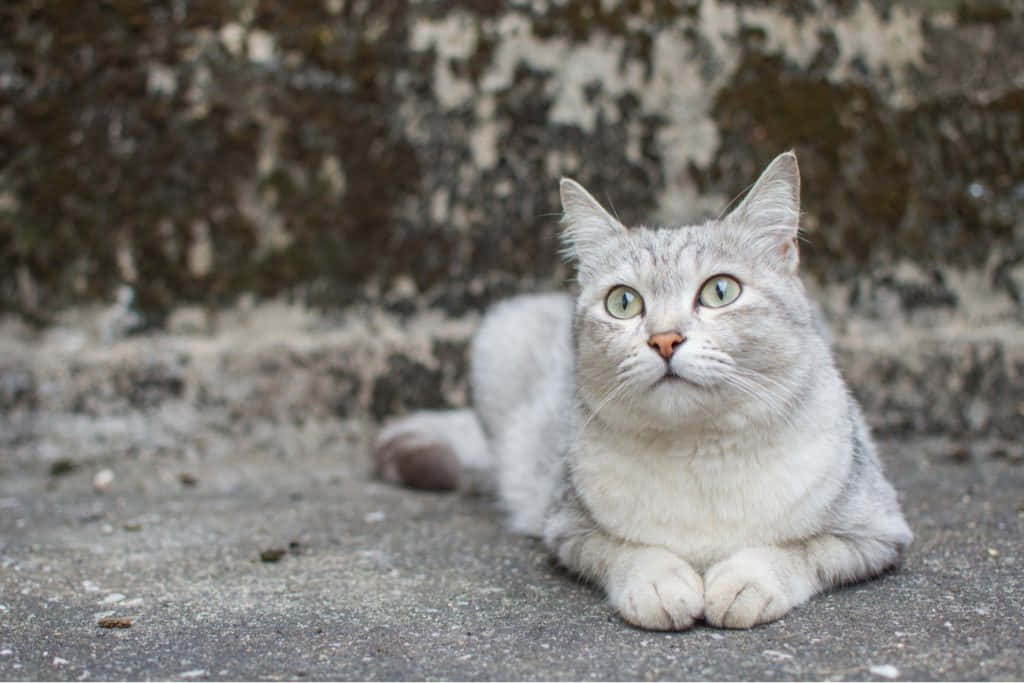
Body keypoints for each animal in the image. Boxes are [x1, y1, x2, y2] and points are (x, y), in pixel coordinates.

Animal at [374, 153, 913, 630]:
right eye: (623, 302)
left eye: (720, 291)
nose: (665, 339)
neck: (699, 453)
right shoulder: (567, 528)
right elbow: (627, 551)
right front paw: (661, 585)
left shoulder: (876, 532)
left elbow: (797, 550)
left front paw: (743, 583)